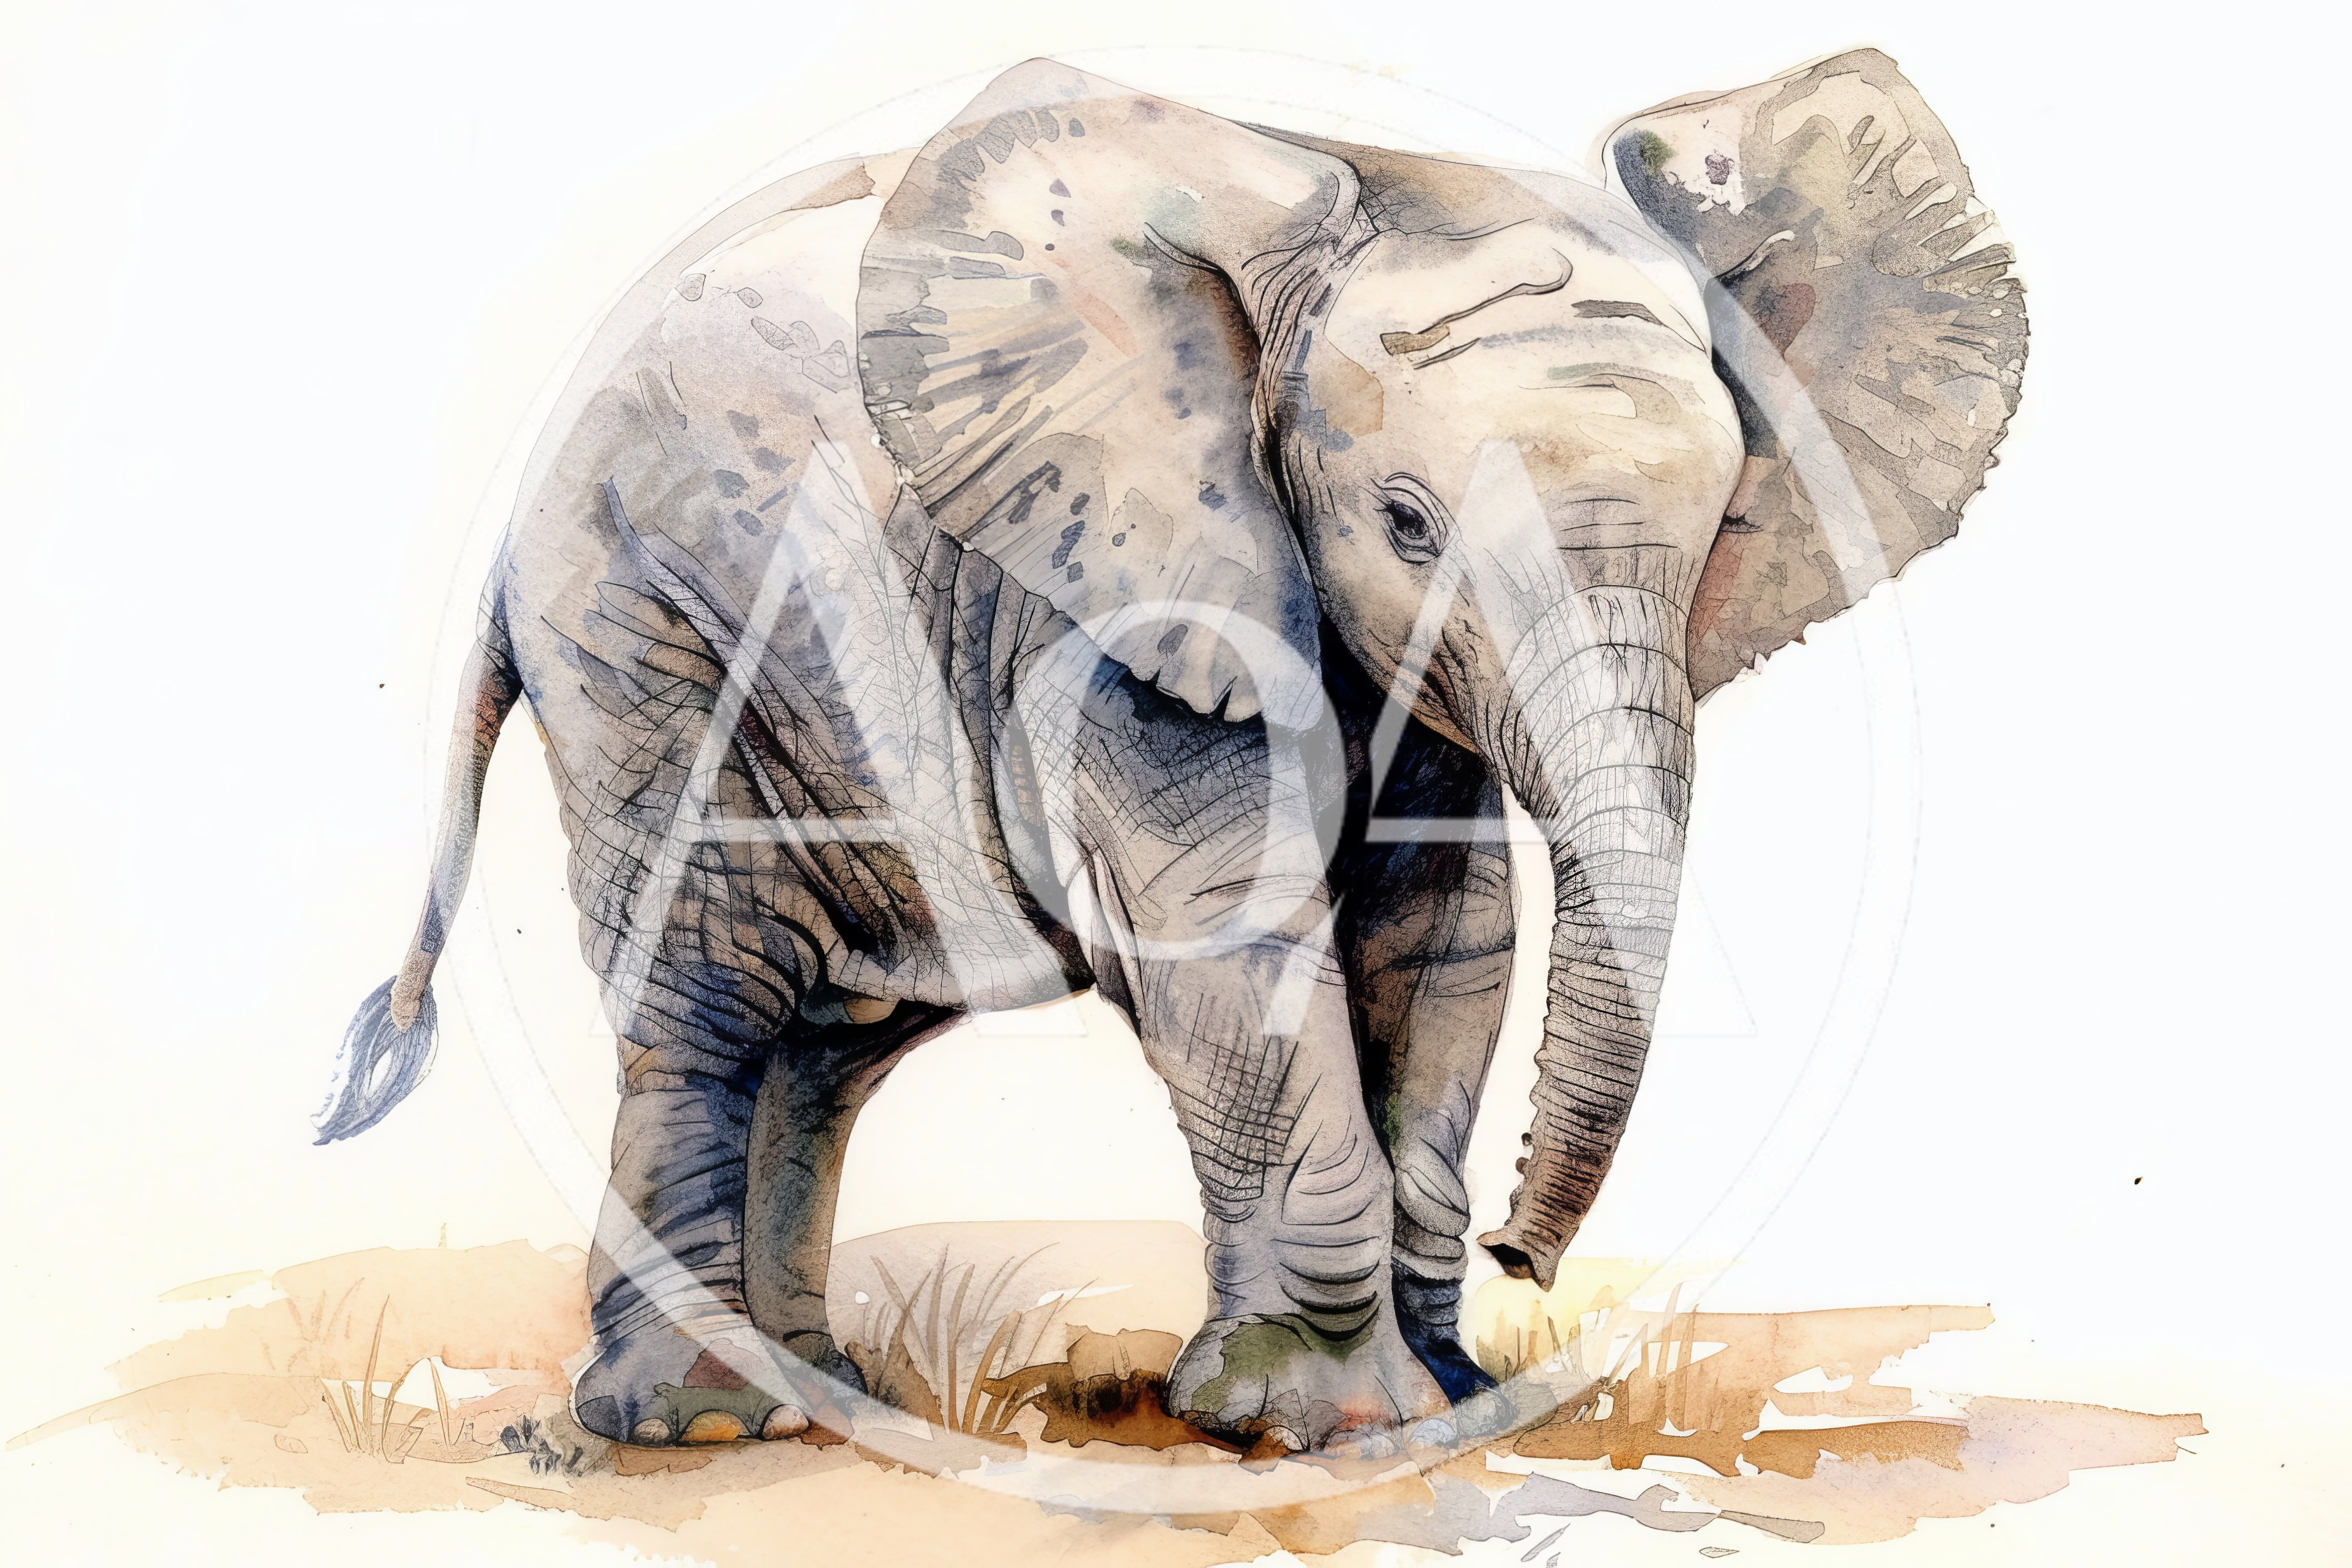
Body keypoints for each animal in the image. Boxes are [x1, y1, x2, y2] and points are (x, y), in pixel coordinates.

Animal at [317, 50, 2024, 1455]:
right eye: (1407, 520)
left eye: (1728, 519)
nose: (1521, 1256)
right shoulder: (1105, 599)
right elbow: (1226, 935)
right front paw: (1312, 1426)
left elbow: (1444, 943)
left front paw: (1440, 1403)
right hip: (643, 630)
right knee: (714, 993)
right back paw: (703, 1424)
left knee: (828, 1040)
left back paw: (830, 1399)